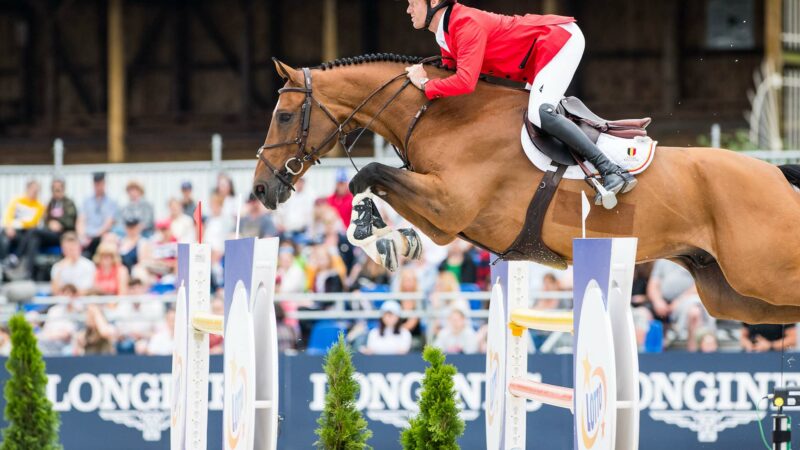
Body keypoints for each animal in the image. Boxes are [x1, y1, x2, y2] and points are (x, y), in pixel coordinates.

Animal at [253, 54, 800, 326]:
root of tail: (776, 175)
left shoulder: (449, 205)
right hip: (732, 295)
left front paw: (379, 238)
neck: (441, 115)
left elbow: (367, 173)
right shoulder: (447, 221)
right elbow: (374, 182)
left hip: (762, 273)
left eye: (285, 116)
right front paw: (393, 240)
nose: (260, 189)